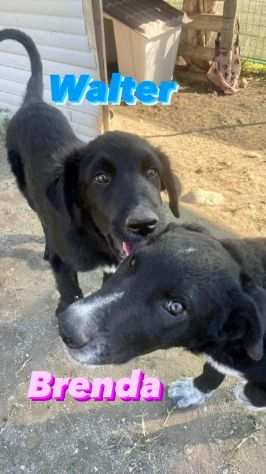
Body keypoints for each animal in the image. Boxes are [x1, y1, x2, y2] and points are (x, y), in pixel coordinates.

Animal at [0, 28, 181, 312]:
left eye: (153, 173)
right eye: (101, 178)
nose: (144, 225)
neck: (93, 236)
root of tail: (32, 103)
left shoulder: (114, 267)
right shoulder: (64, 266)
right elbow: (69, 294)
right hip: (27, 191)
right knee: (41, 216)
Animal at [59, 224, 266, 410]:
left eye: (176, 307)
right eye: (132, 261)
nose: (67, 327)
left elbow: (254, 392)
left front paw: (245, 395)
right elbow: (213, 369)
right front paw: (194, 390)